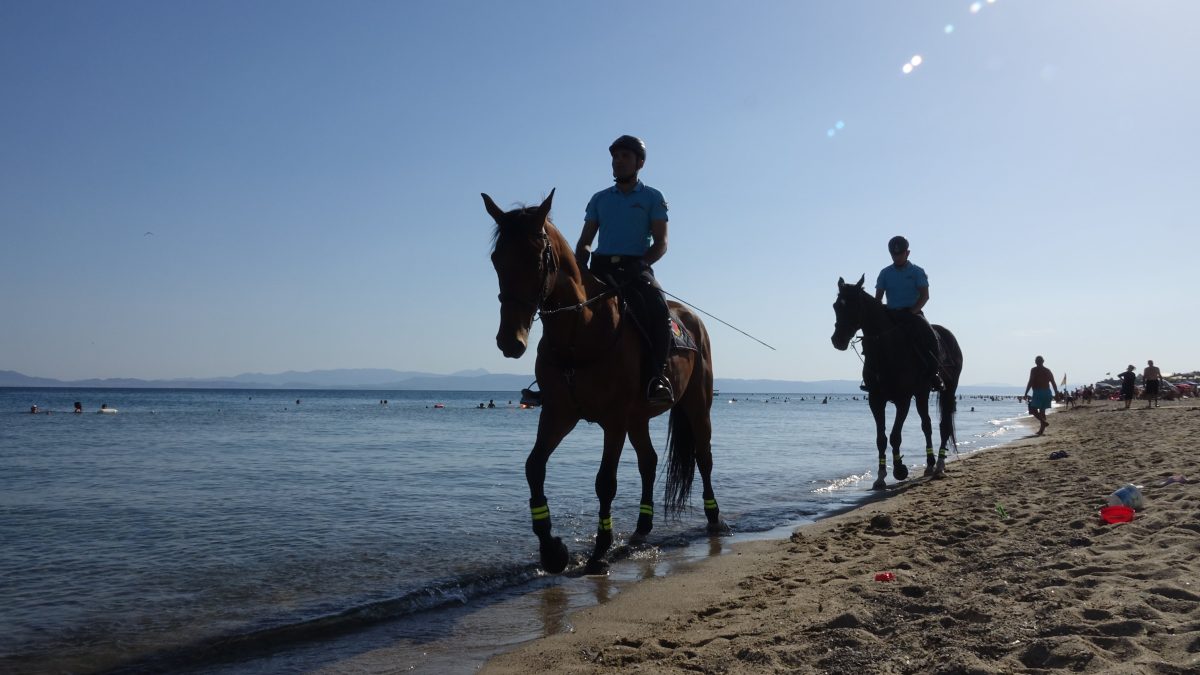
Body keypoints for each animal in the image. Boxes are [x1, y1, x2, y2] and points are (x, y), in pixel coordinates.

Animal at [480, 189, 720, 571]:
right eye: (496, 260)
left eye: (536, 260)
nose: (510, 340)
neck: (581, 332)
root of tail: (691, 319)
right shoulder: (559, 414)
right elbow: (534, 467)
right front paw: (552, 550)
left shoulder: (614, 419)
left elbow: (605, 482)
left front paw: (599, 551)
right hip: (639, 418)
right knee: (649, 462)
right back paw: (641, 528)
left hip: (697, 405)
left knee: (703, 457)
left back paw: (715, 519)